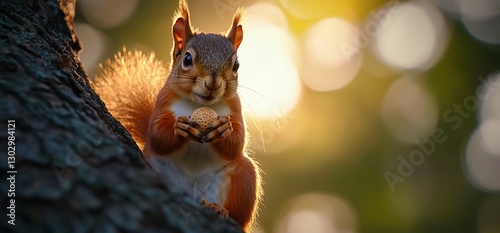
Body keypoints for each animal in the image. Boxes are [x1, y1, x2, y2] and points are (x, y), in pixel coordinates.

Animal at [92, 0, 262, 232]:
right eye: (187, 58)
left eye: (236, 65)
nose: (213, 83)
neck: (198, 103)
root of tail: (192, 193)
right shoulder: (162, 103)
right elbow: (157, 135)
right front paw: (178, 129)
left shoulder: (235, 109)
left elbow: (238, 142)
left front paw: (224, 129)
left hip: (242, 179)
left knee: (237, 214)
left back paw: (218, 208)